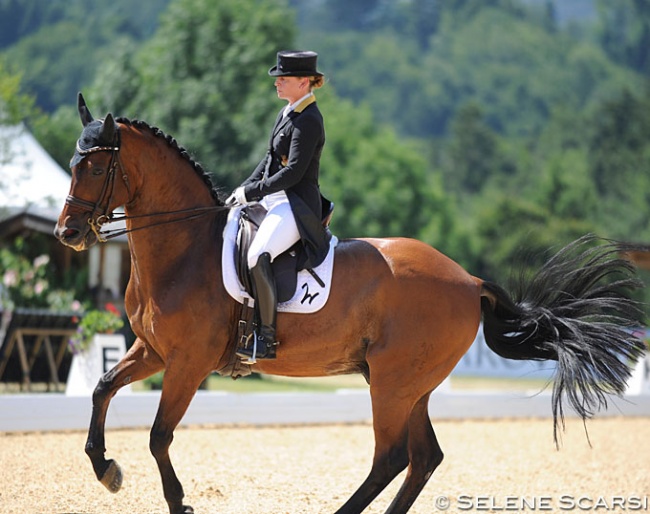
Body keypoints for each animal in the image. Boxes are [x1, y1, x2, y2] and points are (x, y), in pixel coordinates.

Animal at [54, 93, 644, 512]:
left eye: (95, 168)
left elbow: (159, 435)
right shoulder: (153, 351)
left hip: (393, 382)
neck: (184, 248)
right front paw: (106, 469)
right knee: (423, 457)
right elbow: (102, 388)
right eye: (72, 163)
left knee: (392, 456)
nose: (68, 234)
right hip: (409, 385)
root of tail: (468, 277)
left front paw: (176, 502)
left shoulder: (189, 362)